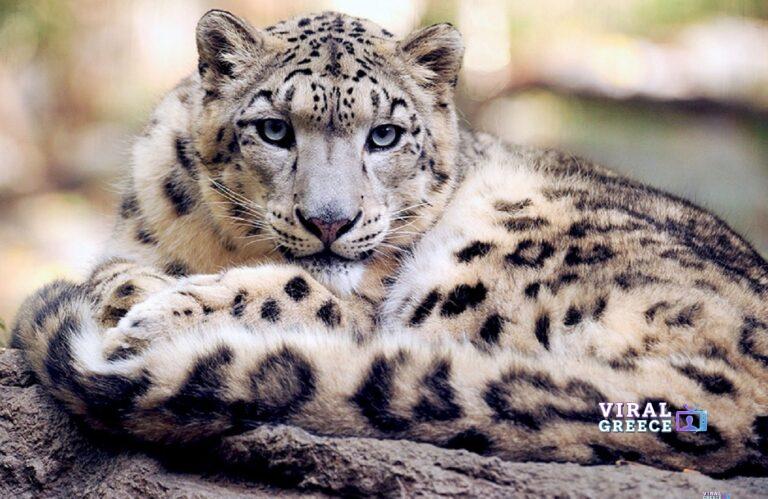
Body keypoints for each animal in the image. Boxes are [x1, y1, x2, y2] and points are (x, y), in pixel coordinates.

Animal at [11, 10, 768, 476]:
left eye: (385, 135)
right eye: (274, 128)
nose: (330, 220)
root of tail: (741, 397)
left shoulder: (360, 301)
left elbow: (296, 290)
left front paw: (153, 312)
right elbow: (116, 268)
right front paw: (131, 291)